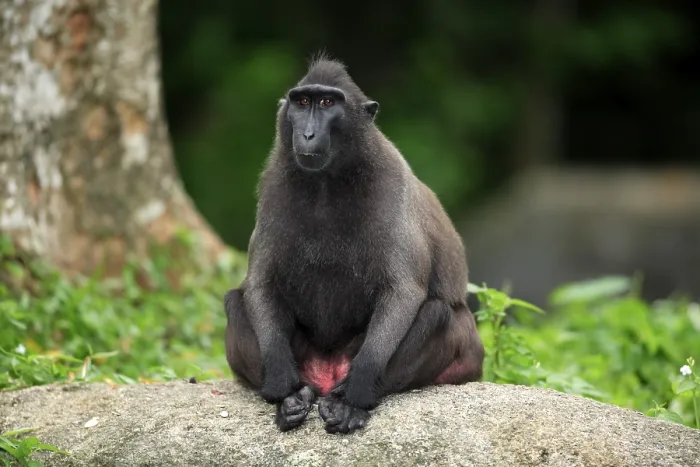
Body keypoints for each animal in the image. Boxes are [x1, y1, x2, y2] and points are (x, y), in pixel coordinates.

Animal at [224, 55, 484, 435]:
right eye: (302, 102)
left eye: (327, 103)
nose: (307, 134)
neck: (326, 183)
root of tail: (329, 373)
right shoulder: (272, 191)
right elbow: (259, 284)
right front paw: (281, 385)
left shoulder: (391, 186)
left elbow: (403, 290)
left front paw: (358, 393)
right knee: (234, 300)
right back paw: (295, 399)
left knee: (437, 313)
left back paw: (346, 402)